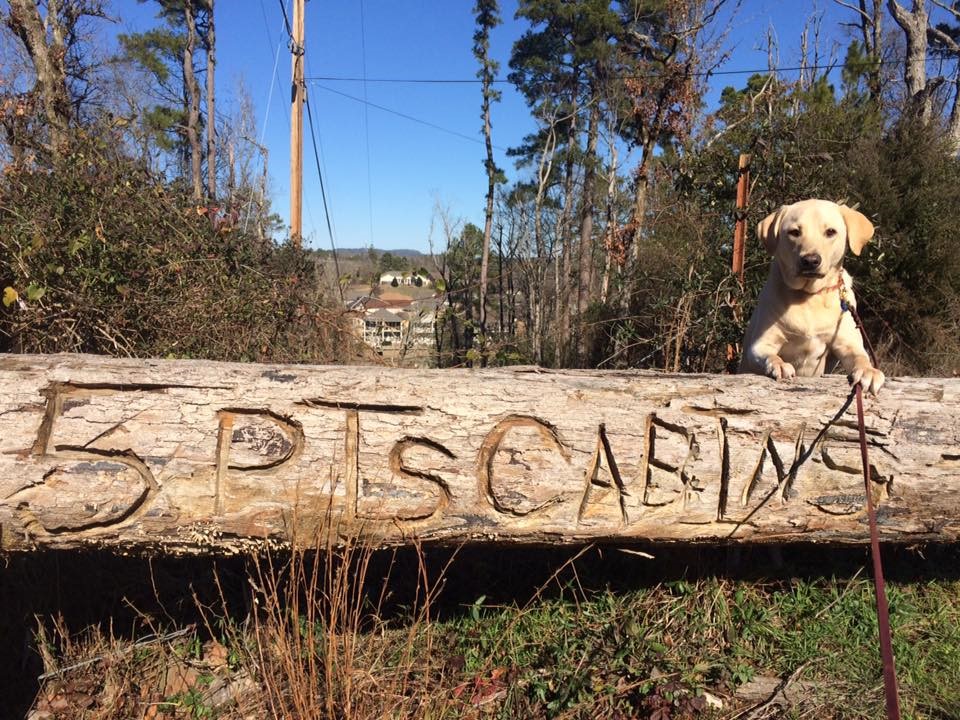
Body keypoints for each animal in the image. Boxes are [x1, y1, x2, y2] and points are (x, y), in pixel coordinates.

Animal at [744, 200, 884, 396]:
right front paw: (779, 365)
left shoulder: (848, 343)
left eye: (830, 231)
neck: (809, 297)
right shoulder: (760, 345)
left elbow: (860, 357)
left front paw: (868, 371)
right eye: (794, 232)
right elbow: (770, 355)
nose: (810, 261)